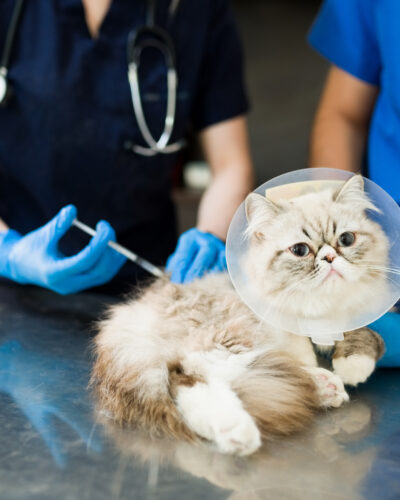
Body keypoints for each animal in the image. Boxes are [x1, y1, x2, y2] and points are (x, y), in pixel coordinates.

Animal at [92, 176, 386, 458]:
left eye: (346, 240)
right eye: (300, 250)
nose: (330, 257)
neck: (321, 305)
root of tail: (130, 315)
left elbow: (365, 335)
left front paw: (351, 364)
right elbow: (303, 351)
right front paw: (350, 368)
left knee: (185, 381)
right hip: (227, 337)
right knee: (198, 372)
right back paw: (244, 428)